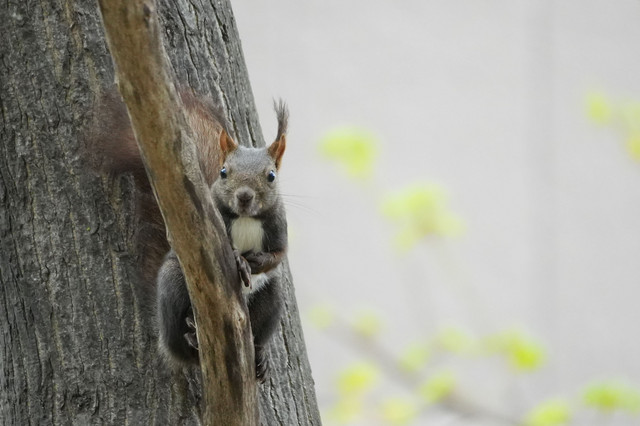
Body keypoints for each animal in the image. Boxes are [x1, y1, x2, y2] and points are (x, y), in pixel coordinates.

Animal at [88, 88, 288, 382]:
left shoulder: (277, 227)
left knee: (261, 323)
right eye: (223, 172)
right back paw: (190, 334)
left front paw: (254, 261)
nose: (244, 196)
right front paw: (239, 260)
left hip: (270, 296)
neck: (245, 218)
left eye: (271, 176)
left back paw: (260, 357)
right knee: (180, 340)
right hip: (173, 283)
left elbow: (278, 254)